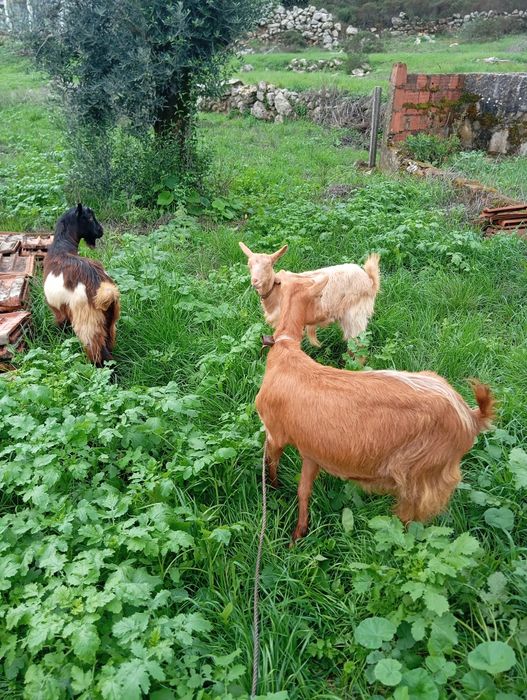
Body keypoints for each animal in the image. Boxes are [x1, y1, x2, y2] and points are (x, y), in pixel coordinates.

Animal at [43, 204, 120, 367]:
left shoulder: (58, 310)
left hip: (88, 326)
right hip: (110, 324)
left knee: (100, 355)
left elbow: (62, 326)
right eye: (89, 218)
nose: (101, 231)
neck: (61, 248)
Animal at [239, 242, 380, 347]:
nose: (255, 281)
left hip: (354, 314)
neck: (275, 291)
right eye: (249, 265)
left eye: (269, 265)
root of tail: (370, 282)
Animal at [255, 275, 495, 543]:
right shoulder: (311, 452)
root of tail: (471, 417)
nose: (328, 313)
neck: (286, 354)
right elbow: (303, 490)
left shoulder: (275, 433)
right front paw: (299, 534)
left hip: (421, 476)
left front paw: (273, 489)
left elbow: (271, 463)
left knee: (408, 521)